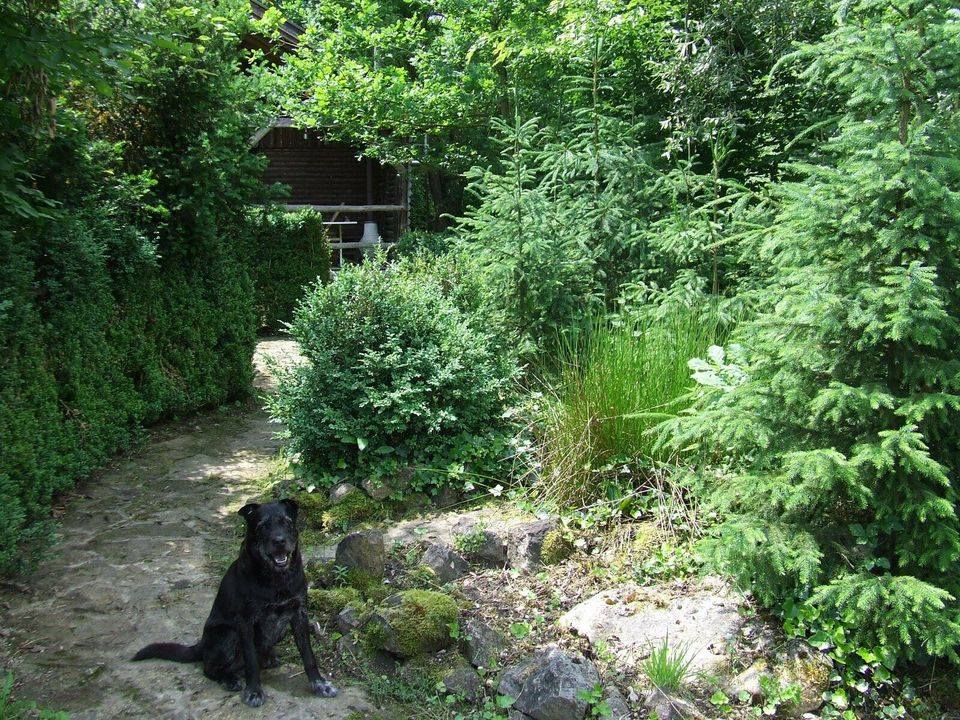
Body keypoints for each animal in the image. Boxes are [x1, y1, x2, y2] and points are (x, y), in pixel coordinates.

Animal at [133, 498, 338, 704]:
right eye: (262, 526)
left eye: (287, 522)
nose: (279, 541)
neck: (276, 579)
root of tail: (201, 645)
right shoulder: (245, 622)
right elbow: (251, 661)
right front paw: (254, 691)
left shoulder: (299, 614)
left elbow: (308, 656)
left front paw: (319, 684)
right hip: (227, 634)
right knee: (209, 668)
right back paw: (229, 679)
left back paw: (268, 659)